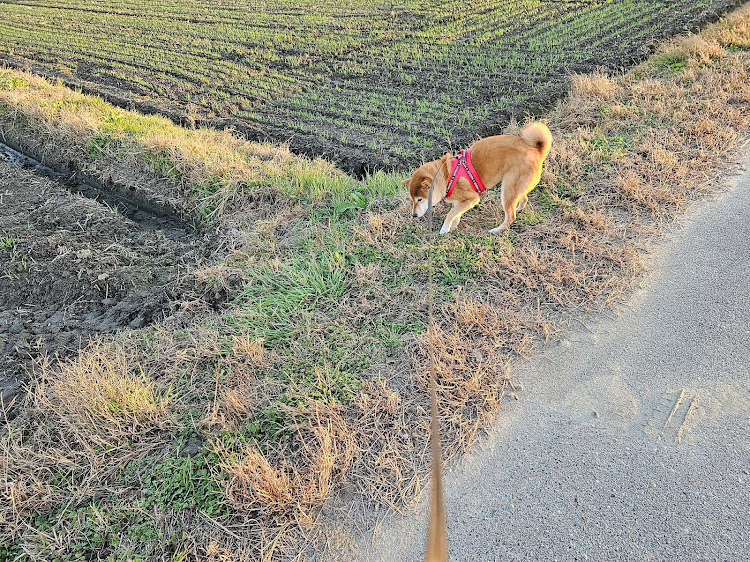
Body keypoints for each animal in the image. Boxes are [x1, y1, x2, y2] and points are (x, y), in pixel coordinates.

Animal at [402, 122, 556, 234]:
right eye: (412, 200)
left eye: (419, 199)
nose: (413, 215)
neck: (446, 176)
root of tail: (535, 151)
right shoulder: (460, 202)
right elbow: (456, 214)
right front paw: (452, 227)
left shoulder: (472, 198)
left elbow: (450, 214)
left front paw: (444, 229)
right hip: (514, 187)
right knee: (523, 198)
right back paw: (518, 208)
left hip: (507, 190)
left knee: (511, 216)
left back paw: (497, 230)